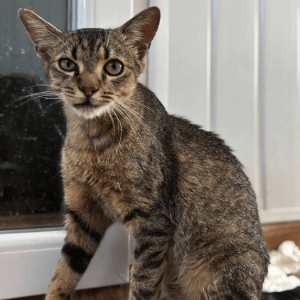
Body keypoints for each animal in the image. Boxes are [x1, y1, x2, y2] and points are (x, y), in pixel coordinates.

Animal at [18, 6, 270, 300]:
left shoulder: (153, 222)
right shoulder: (83, 215)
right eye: (67, 64)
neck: (92, 143)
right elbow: (62, 274)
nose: (88, 88)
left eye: (113, 66)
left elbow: (143, 283)